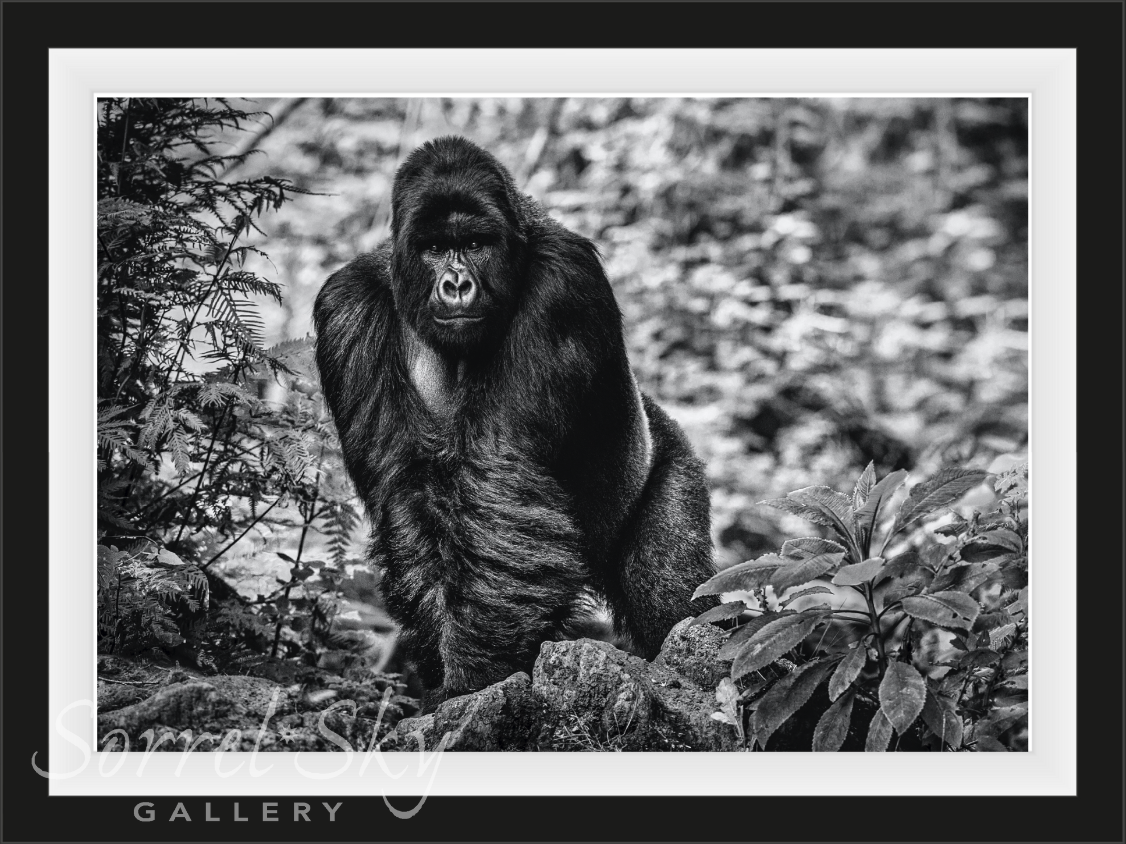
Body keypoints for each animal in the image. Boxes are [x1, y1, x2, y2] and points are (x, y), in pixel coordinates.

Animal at [310, 137, 711, 706]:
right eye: (434, 248)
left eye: (477, 243)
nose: (457, 284)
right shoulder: (346, 308)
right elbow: (403, 490)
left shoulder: (564, 278)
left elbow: (500, 473)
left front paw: (475, 678)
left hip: (668, 454)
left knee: (673, 597)